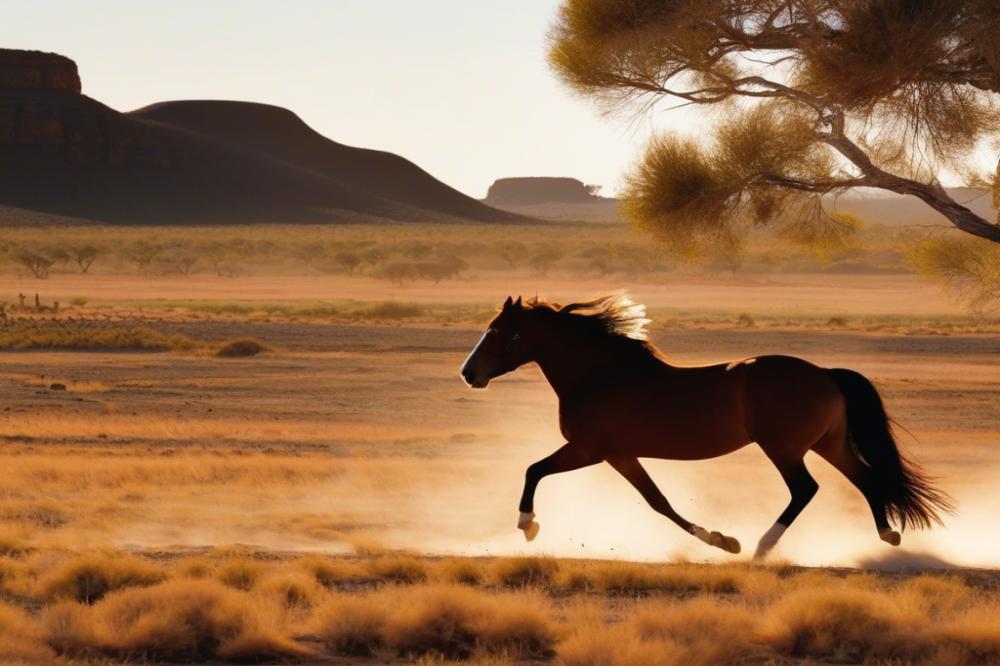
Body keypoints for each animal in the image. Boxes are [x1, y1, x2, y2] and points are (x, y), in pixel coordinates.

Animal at [460, 293, 952, 559]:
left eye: (497, 332)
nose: (468, 373)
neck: (600, 374)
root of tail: (825, 374)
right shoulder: (611, 454)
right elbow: (650, 499)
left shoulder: (598, 452)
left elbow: (652, 501)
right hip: (828, 444)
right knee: (867, 479)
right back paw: (888, 534)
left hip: (785, 450)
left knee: (805, 490)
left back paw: (762, 547)